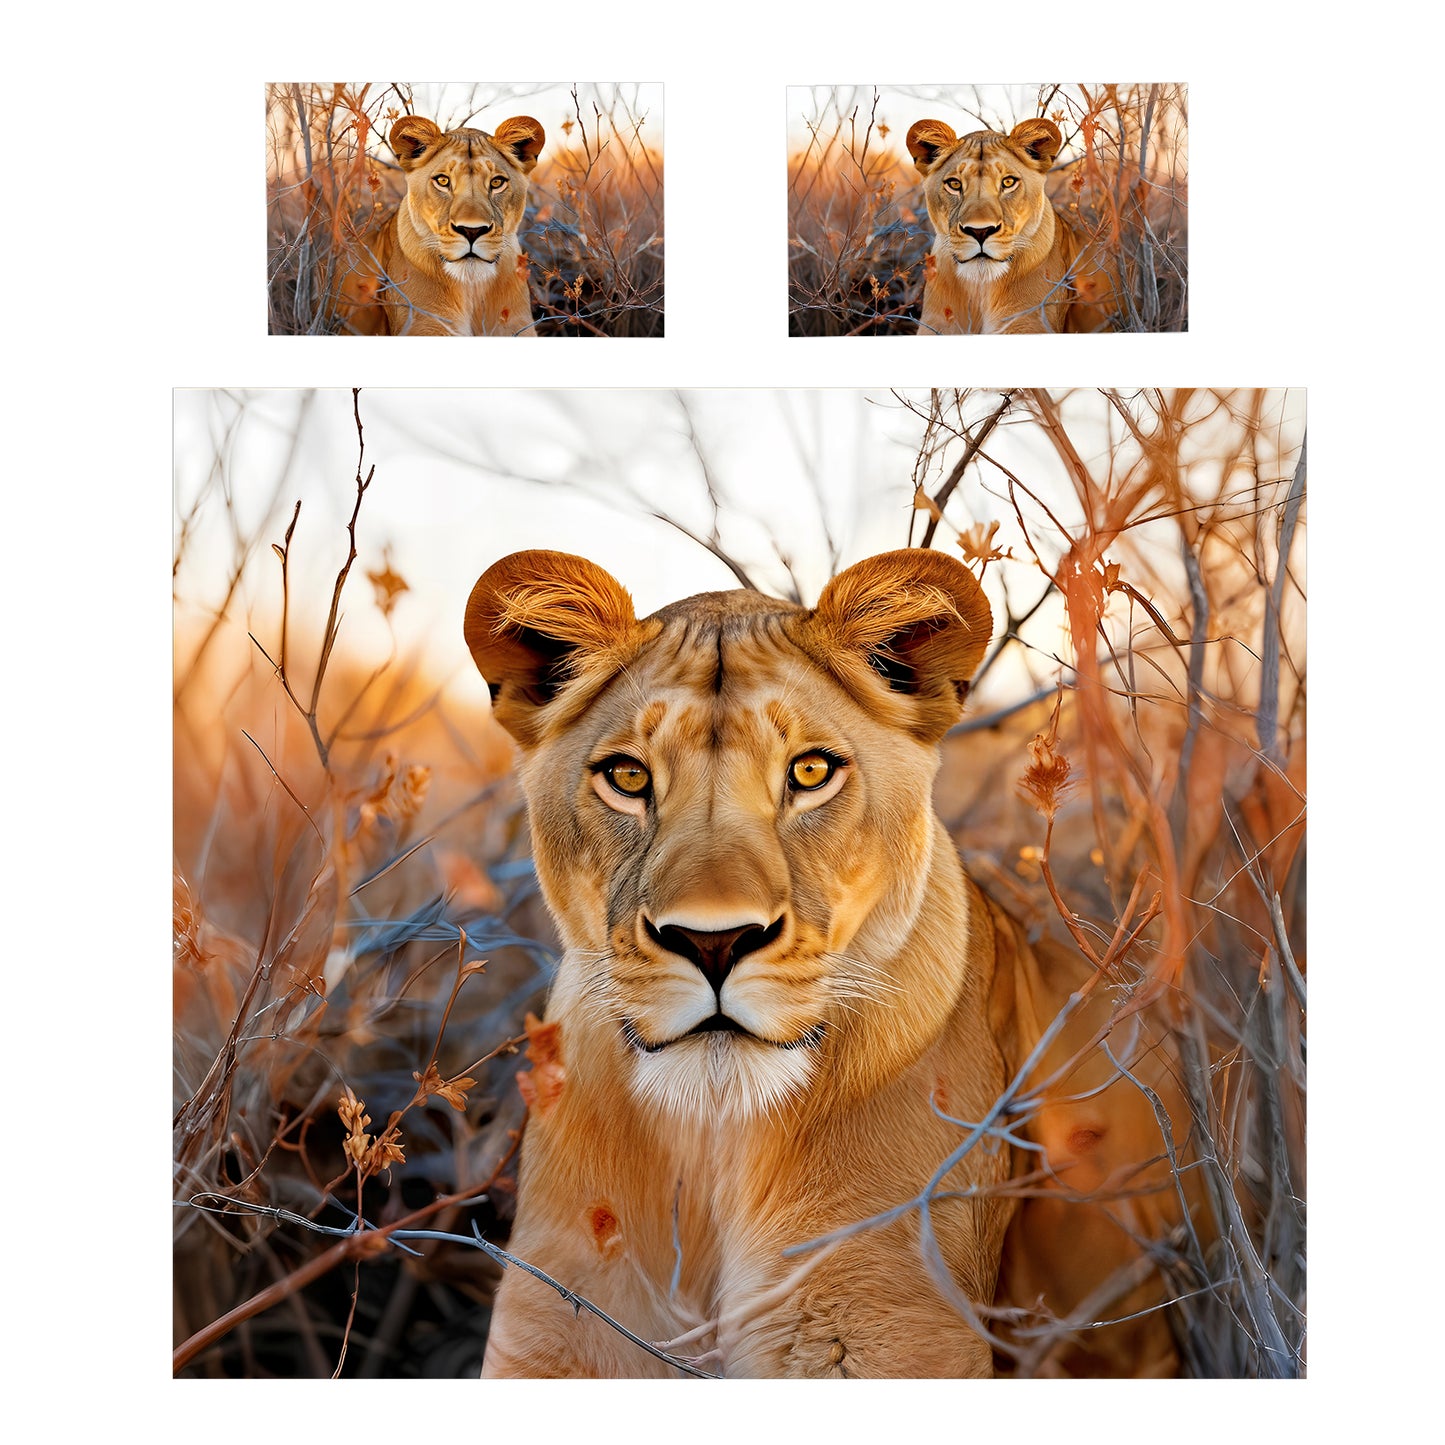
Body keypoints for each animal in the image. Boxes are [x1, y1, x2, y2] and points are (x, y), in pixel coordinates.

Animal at [464, 548, 1194, 1378]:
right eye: (627, 777)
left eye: (810, 772)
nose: (713, 941)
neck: (711, 1144)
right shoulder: (556, 1321)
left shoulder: (888, 1325)